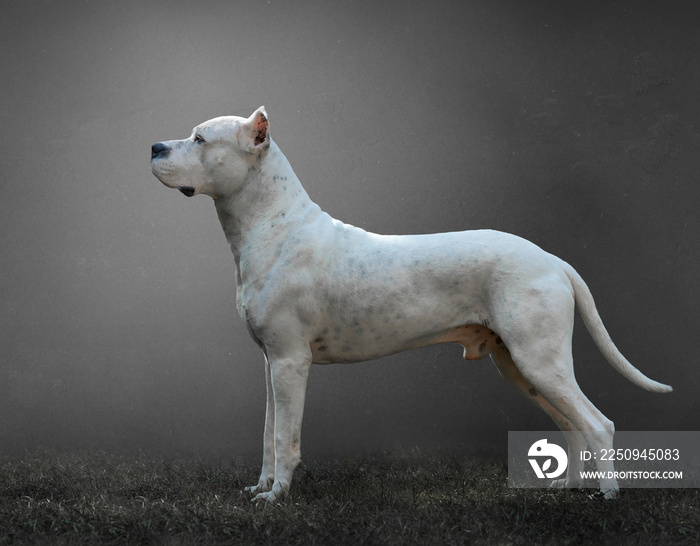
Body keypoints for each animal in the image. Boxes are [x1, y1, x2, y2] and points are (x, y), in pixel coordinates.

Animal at [152, 107, 672, 502]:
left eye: (199, 138)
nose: (155, 147)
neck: (272, 224)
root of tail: (553, 260)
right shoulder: (272, 364)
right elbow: (267, 435)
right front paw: (260, 488)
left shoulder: (289, 363)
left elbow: (285, 437)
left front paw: (277, 497)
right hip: (522, 367)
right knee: (571, 425)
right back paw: (569, 488)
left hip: (539, 361)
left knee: (597, 423)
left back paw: (607, 497)